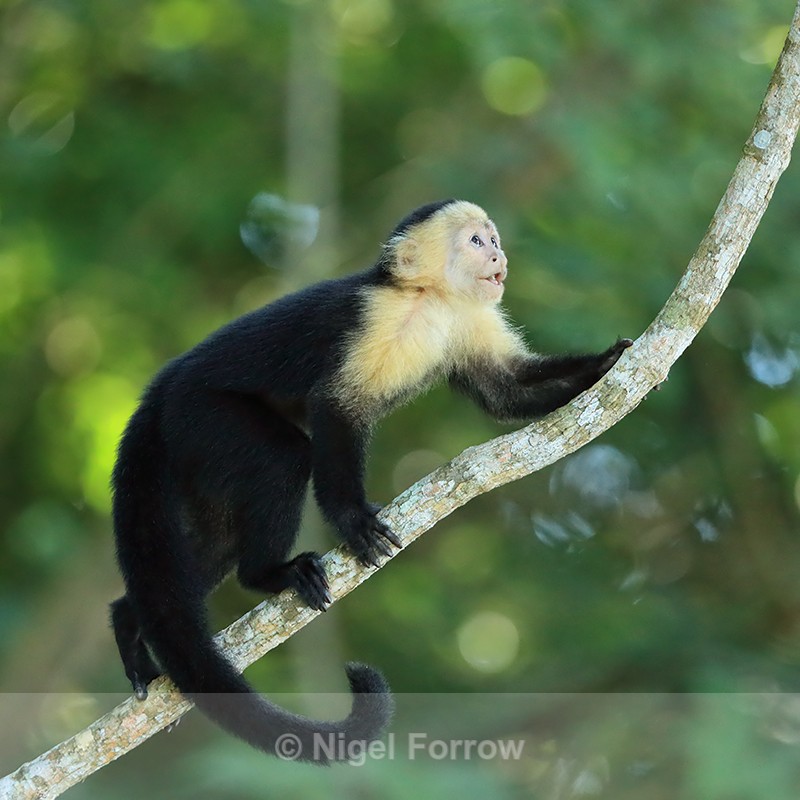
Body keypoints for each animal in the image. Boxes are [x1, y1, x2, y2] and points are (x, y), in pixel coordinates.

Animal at [109, 199, 632, 764]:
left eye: (491, 239)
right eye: (476, 242)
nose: (499, 254)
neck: (430, 300)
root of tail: (160, 391)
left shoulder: (470, 318)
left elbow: (506, 391)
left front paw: (605, 365)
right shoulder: (376, 317)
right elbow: (337, 407)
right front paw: (352, 519)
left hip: (195, 451)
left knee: (212, 544)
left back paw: (129, 623)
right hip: (203, 417)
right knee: (284, 460)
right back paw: (268, 574)